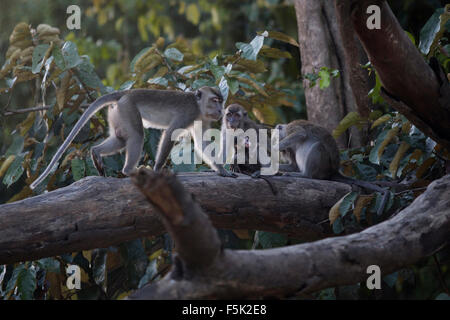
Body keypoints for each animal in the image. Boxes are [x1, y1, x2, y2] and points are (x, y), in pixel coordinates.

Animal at [30, 86, 236, 189]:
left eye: (221, 101)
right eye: (215, 100)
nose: (220, 111)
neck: (198, 105)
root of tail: (125, 93)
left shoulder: (202, 119)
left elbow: (203, 142)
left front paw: (220, 169)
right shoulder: (188, 113)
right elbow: (170, 133)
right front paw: (158, 169)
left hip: (117, 113)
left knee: (121, 139)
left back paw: (96, 153)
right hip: (128, 108)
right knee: (137, 136)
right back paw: (129, 170)